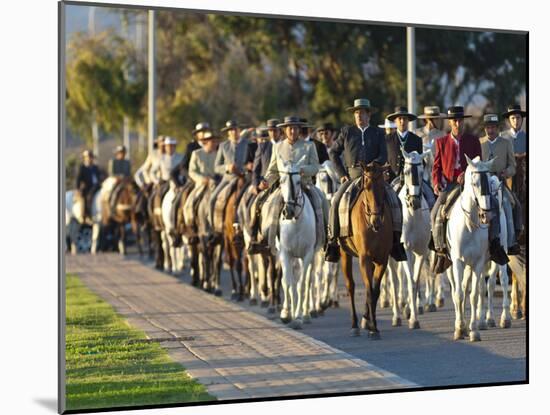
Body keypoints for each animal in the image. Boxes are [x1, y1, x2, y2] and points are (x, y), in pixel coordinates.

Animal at [278, 158, 322, 330]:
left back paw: (306, 314)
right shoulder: (285, 253)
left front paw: (297, 317)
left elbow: (302, 285)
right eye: (281, 181)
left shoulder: (307, 254)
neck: (295, 222)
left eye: (298, 181)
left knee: (308, 281)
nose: (288, 211)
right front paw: (286, 313)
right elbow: (287, 283)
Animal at [340, 161, 392, 340]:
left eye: (383, 186)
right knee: (350, 285)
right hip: (345, 254)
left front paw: (372, 325)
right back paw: (354, 324)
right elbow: (368, 290)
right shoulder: (364, 259)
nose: (376, 220)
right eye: (367, 187)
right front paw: (372, 327)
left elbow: (375, 292)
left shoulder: (382, 260)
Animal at [448, 155, 496, 342]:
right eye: (474, 183)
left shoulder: (478, 263)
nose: (486, 214)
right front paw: (459, 328)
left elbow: (474, 295)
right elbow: (459, 294)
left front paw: (474, 330)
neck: (469, 226)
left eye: (489, 181)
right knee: (457, 291)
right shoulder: (457, 262)